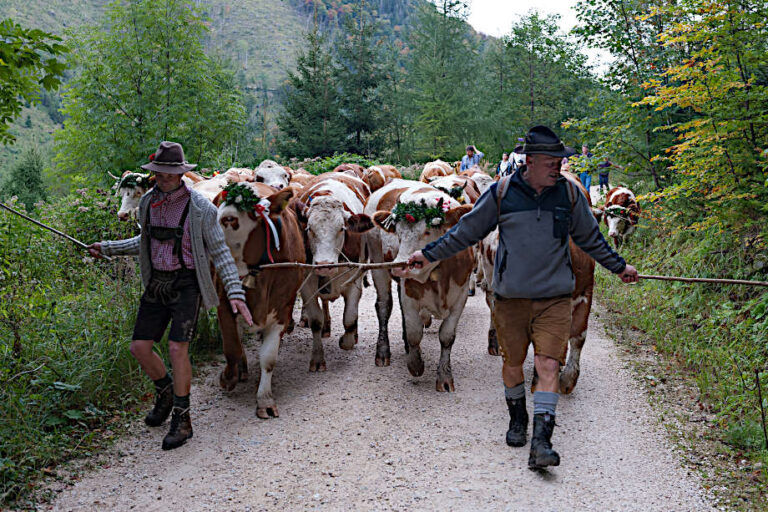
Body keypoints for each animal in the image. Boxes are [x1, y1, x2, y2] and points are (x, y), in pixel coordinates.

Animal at [213, 182, 306, 418]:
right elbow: (232, 348)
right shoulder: (224, 303)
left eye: (230, 219)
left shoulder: (283, 308)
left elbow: (268, 357)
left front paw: (264, 399)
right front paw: (228, 377)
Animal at [292, 174, 374, 370]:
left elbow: (350, 317)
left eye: (341, 229)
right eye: (309, 229)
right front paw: (317, 358)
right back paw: (326, 326)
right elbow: (315, 319)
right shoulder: (308, 284)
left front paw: (347, 340)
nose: (324, 264)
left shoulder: (355, 280)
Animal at [366, 180, 474, 392]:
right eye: (398, 233)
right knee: (384, 306)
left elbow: (447, 335)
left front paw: (444, 377)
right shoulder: (409, 293)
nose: (400, 265)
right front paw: (416, 365)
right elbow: (415, 332)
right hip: (377, 264)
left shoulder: (461, 294)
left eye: (428, 231)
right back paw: (382, 352)